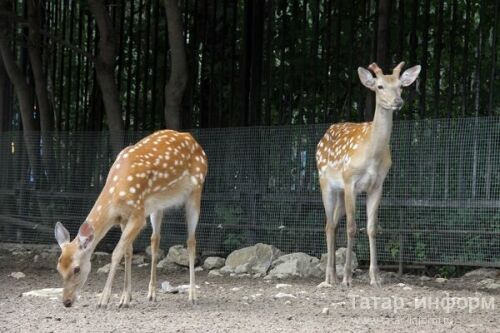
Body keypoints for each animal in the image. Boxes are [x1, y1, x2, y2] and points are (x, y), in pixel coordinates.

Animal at [52, 129, 205, 306]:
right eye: (58, 268)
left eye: (76, 269)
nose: (66, 302)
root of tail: (192, 139)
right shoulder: (123, 219)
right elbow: (128, 252)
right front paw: (126, 297)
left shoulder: (138, 215)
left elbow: (116, 253)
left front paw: (104, 299)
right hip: (157, 205)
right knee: (155, 239)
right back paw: (152, 294)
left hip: (196, 190)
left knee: (191, 240)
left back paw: (193, 295)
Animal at [318, 62, 420, 288]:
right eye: (380, 86)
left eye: (401, 86)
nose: (398, 102)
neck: (372, 156)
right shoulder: (350, 182)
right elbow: (352, 228)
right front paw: (348, 278)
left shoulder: (377, 185)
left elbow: (372, 228)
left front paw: (375, 277)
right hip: (325, 183)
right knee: (329, 224)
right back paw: (330, 278)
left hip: (339, 193)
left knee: (333, 224)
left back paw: (333, 276)